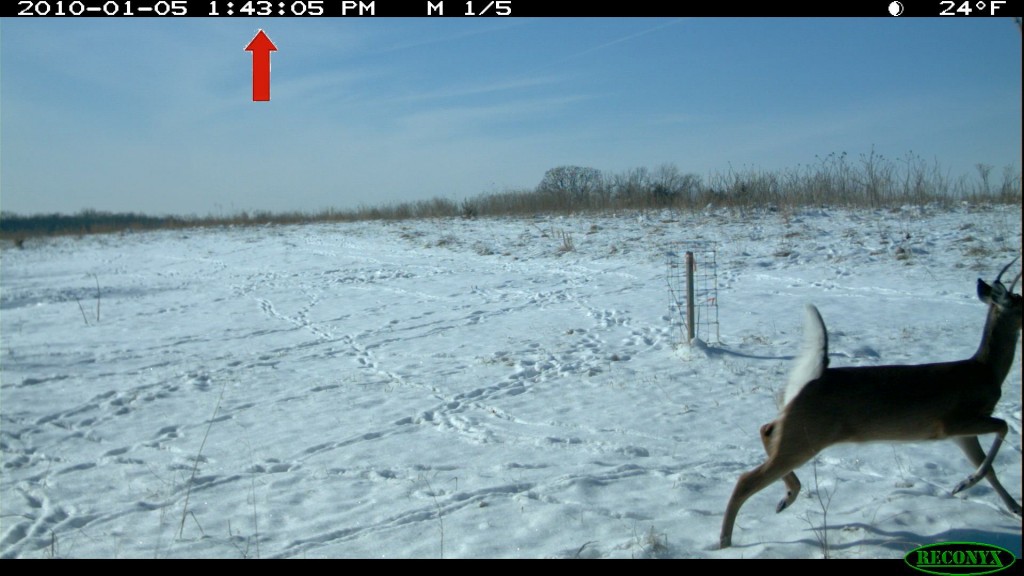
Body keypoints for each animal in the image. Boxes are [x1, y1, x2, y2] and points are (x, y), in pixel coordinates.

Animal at [720, 259, 1024, 545]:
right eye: (1021, 300)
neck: (987, 371)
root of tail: (810, 379)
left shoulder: (963, 433)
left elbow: (990, 467)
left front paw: (1014, 508)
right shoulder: (953, 421)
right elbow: (1003, 427)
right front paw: (964, 484)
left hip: (798, 428)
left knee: (766, 429)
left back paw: (785, 498)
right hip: (807, 434)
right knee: (745, 480)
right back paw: (725, 542)